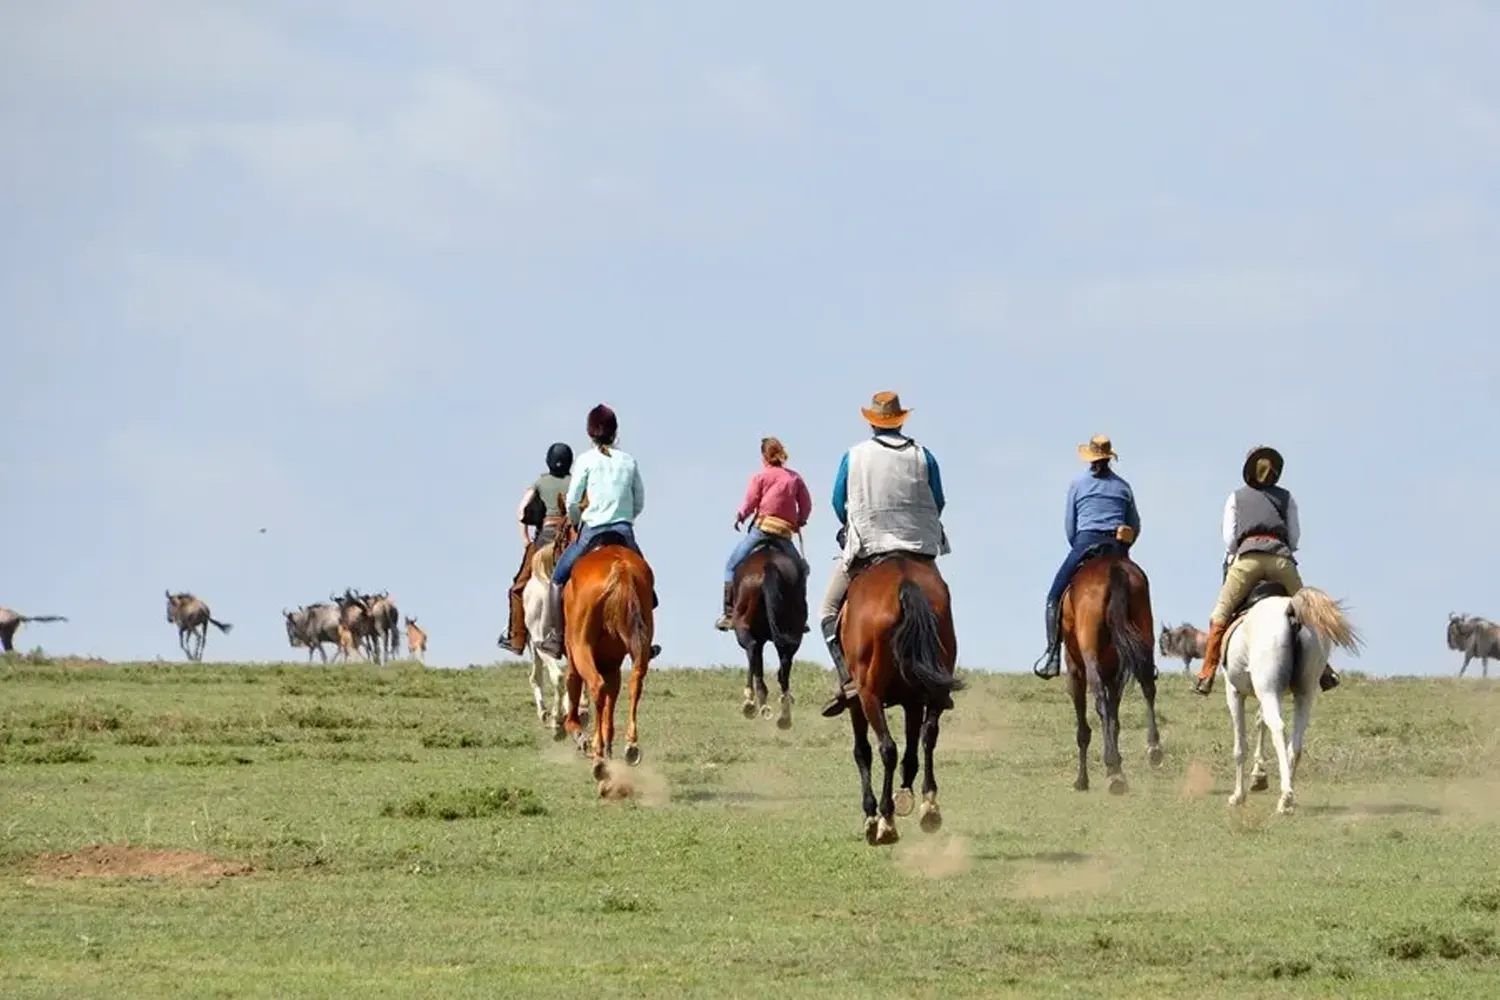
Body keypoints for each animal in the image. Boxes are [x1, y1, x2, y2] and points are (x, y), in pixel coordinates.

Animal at [561, 536, 654, 791]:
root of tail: (620, 570)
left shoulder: (574, 654)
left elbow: (574, 683)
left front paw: (579, 733)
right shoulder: (612, 662)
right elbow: (612, 699)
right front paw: (609, 743)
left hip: (580, 646)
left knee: (595, 684)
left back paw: (598, 758)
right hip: (641, 640)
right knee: (635, 681)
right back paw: (630, 746)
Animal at [729, 542, 810, 731]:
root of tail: (768, 565)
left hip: (742, 626)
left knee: (752, 648)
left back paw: (752, 702)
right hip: (793, 632)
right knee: (784, 664)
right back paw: (784, 715)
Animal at [840, 551, 966, 851]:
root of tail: (904, 582)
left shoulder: (858, 701)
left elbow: (863, 751)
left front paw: (871, 815)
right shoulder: (913, 701)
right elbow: (912, 751)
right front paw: (907, 794)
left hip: (869, 694)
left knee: (887, 748)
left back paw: (886, 821)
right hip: (933, 685)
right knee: (929, 735)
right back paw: (929, 807)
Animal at [1056, 551, 1158, 791]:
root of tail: (1113, 568)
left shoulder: (1075, 672)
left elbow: (1085, 728)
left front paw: (1083, 779)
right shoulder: (1115, 673)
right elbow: (1114, 719)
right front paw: (1117, 766)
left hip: (1089, 656)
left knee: (1100, 700)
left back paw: (1113, 768)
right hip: (1144, 636)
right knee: (1148, 686)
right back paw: (1153, 748)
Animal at [1224, 590, 1368, 815]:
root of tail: (1291, 609)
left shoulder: (1234, 692)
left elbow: (1240, 747)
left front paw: (1238, 795)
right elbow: (1260, 722)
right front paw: (1259, 776)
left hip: (1268, 690)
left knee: (1278, 728)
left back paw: (1286, 797)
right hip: (1303, 694)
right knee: (1296, 743)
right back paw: (1287, 798)